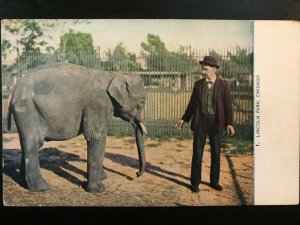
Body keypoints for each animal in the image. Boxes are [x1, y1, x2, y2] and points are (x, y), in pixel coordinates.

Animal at [6, 62, 147, 192]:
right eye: (142, 102)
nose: (136, 174)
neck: (113, 75)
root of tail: (14, 90)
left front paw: (103, 177)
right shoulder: (97, 104)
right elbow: (96, 137)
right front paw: (99, 189)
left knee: (29, 144)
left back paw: (23, 183)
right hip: (27, 109)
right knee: (33, 142)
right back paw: (43, 188)